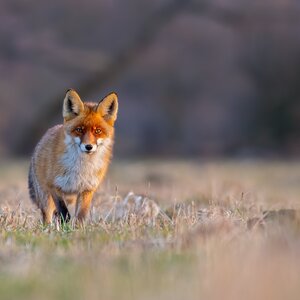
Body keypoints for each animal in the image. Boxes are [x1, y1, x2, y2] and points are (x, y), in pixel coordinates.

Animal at [27, 89, 118, 223]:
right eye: (79, 129)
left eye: (97, 131)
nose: (88, 147)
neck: (81, 168)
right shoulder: (54, 186)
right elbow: (64, 213)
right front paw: (66, 227)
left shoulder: (87, 189)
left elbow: (81, 216)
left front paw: (77, 228)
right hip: (45, 198)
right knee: (47, 217)